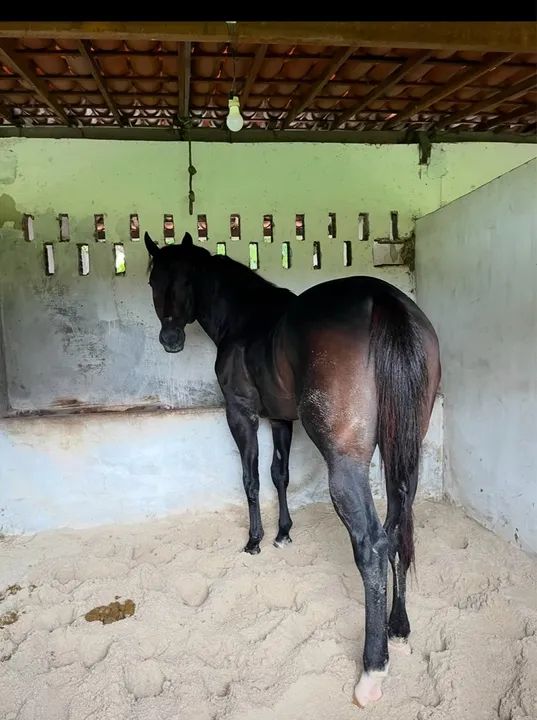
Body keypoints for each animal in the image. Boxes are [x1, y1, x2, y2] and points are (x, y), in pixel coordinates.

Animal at [144, 230, 441, 707]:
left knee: (373, 545)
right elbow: (279, 474)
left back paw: (372, 670)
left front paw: (255, 540)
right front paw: (283, 533)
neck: (245, 319)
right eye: (157, 280)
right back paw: (399, 628)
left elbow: (250, 478)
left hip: (345, 465)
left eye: (184, 280)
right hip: (404, 457)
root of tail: (382, 299)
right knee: (397, 529)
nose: (170, 338)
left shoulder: (241, 414)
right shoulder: (281, 420)